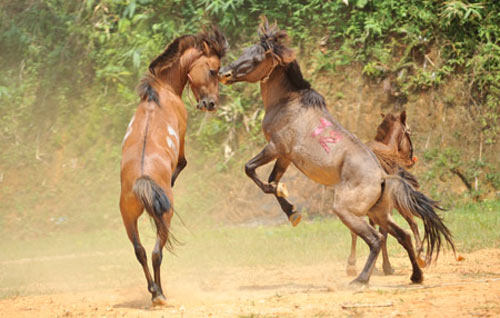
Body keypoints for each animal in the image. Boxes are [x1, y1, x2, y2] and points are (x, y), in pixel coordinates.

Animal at [119, 29, 227, 306]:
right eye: (213, 70)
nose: (211, 104)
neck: (161, 90)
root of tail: (143, 180)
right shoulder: (182, 135)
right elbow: (183, 162)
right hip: (164, 217)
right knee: (156, 253)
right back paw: (160, 293)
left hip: (128, 218)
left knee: (140, 251)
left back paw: (153, 290)